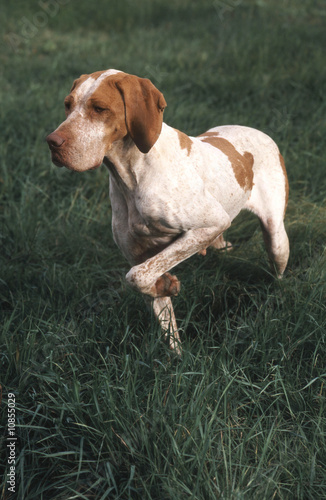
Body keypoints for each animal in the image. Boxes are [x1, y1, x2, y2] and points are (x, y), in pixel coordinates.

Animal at [46, 68, 290, 354]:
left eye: (99, 108)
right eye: (67, 105)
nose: (52, 142)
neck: (133, 175)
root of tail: (261, 132)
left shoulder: (211, 224)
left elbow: (135, 277)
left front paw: (165, 284)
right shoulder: (141, 255)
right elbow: (155, 301)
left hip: (276, 241)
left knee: (277, 271)